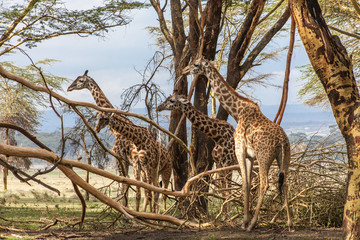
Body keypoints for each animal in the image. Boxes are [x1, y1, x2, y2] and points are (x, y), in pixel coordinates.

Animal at [67, 70, 135, 207]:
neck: (116, 132)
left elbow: (124, 184)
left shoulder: (119, 158)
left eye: (81, 80)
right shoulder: (124, 161)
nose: (69, 88)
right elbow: (126, 184)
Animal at [183, 57, 292, 231]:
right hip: (284, 156)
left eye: (195, 64)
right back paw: (289, 222)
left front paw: (244, 222)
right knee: (285, 183)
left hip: (264, 157)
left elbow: (244, 185)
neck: (237, 112)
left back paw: (253, 223)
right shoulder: (249, 156)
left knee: (264, 184)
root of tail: (282, 140)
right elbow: (246, 185)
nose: (184, 70)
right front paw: (244, 219)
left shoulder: (240, 150)